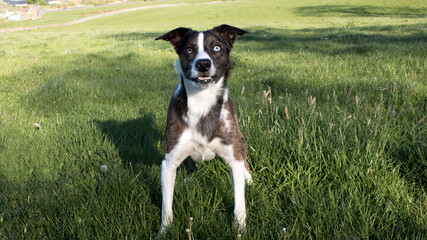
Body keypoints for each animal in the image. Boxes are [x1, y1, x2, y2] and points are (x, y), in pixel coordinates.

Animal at [156, 24, 251, 231]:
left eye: (216, 48)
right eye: (188, 50)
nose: (203, 64)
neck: (202, 102)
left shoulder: (234, 157)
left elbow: (240, 203)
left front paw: (240, 228)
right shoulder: (169, 162)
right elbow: (166, 206)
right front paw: (164, 231)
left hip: (240, 141)